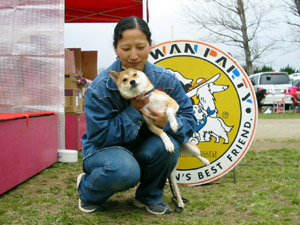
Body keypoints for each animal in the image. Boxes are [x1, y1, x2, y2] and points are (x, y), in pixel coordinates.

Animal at [109, 68, 210, 209]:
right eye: (125, 79)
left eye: (134, 74)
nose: (132, 81)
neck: (147, 98)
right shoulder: (149, 123)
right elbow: (161, 132)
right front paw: (168, 143)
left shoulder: (172, 103)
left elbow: (168, 112)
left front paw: (173, 125)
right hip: (172, 173)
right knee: (175, 186)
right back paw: (179, 202)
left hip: (191, 147)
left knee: (198, 154)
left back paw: (205, 161)